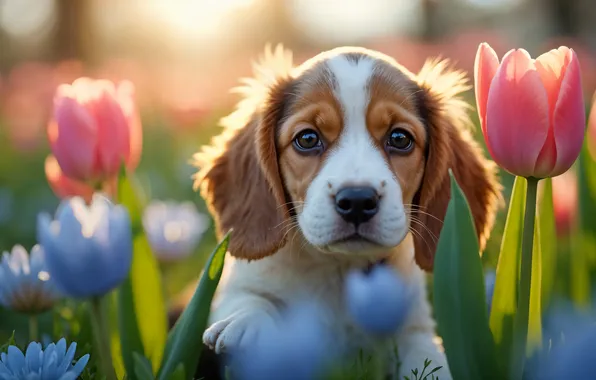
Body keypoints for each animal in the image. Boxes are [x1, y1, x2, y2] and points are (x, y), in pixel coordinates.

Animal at [193, 44, 500, 378]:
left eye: (400, 138)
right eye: (307, 139)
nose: (356, 201)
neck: (337, 269)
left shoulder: (414, 326)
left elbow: (425, 353)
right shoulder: (239, 288)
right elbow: (250, 299)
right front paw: (247, 322)